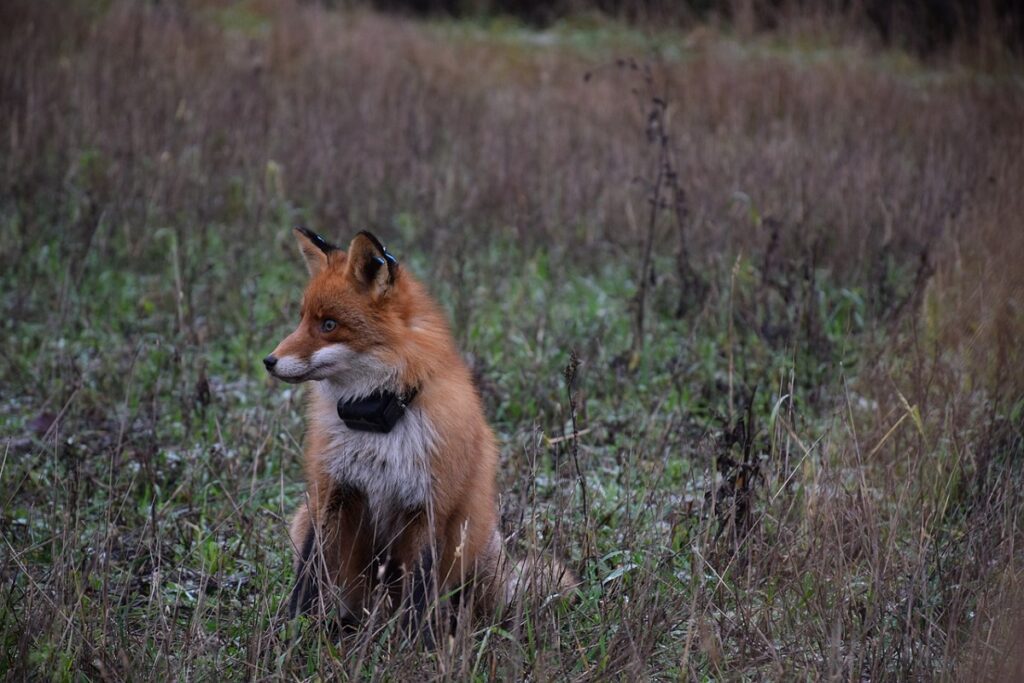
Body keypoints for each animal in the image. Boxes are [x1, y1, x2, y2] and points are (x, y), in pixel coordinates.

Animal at [264, 229, 577, 643]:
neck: (377, 422)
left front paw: (414, 647)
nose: (268, 361)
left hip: (471, 543)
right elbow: (308, 576)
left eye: (328, 324)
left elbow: (418, 592)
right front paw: (290, 633)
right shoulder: (330, 495)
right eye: (301, 320)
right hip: (305, 521)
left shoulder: (428, 506)